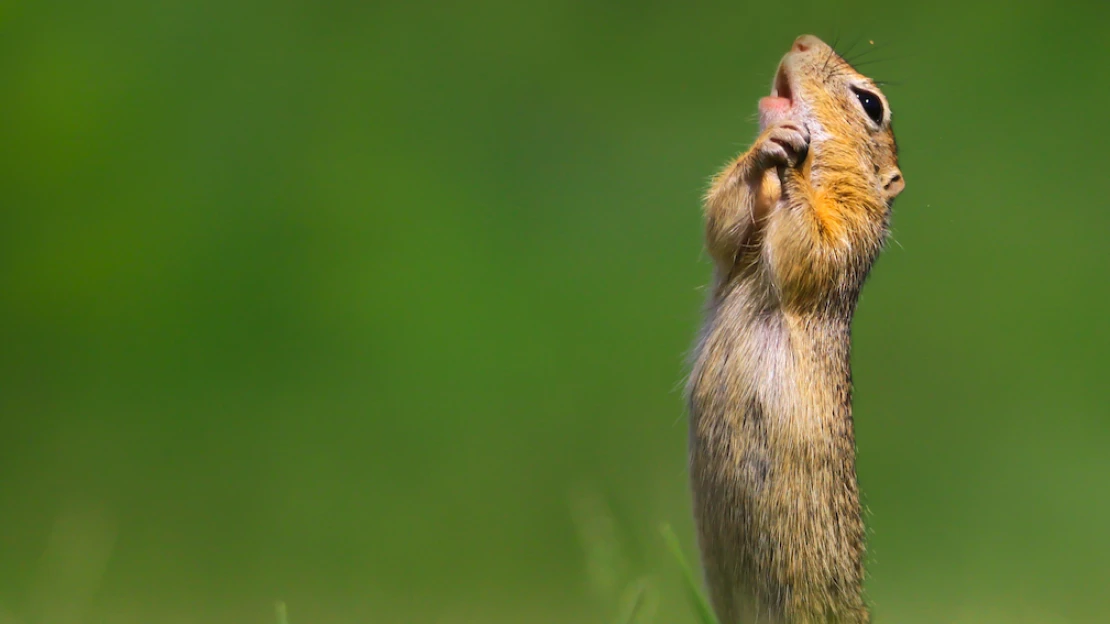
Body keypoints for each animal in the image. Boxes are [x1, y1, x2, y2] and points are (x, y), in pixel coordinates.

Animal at [688, 35, 905, 621]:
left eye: (871, 104)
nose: (801, 40)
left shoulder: (852, 226)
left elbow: (811, 247)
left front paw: (794, 164)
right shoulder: (737, 245)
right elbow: (723, 222)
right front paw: (768, 150)